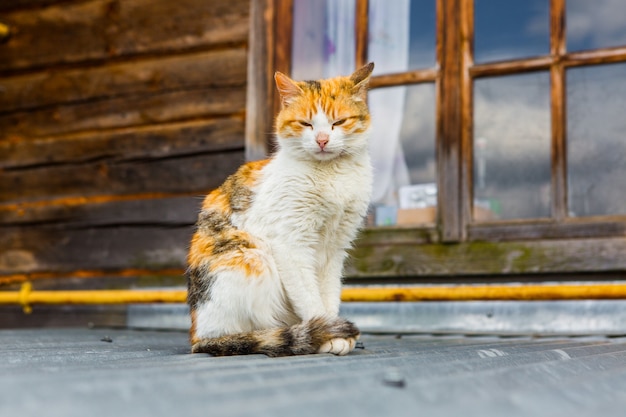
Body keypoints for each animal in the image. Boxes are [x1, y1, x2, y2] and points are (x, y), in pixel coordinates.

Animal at [183, 61, 372, 354]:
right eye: (306, 123)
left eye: (338, 122)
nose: (321, 140)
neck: (332, 175)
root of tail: (196, 335)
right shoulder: (291, 244)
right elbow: (309, 297)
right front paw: (328, 335)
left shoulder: (336, 248)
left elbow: (329, 293)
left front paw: (335, 332)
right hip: (250, 255)